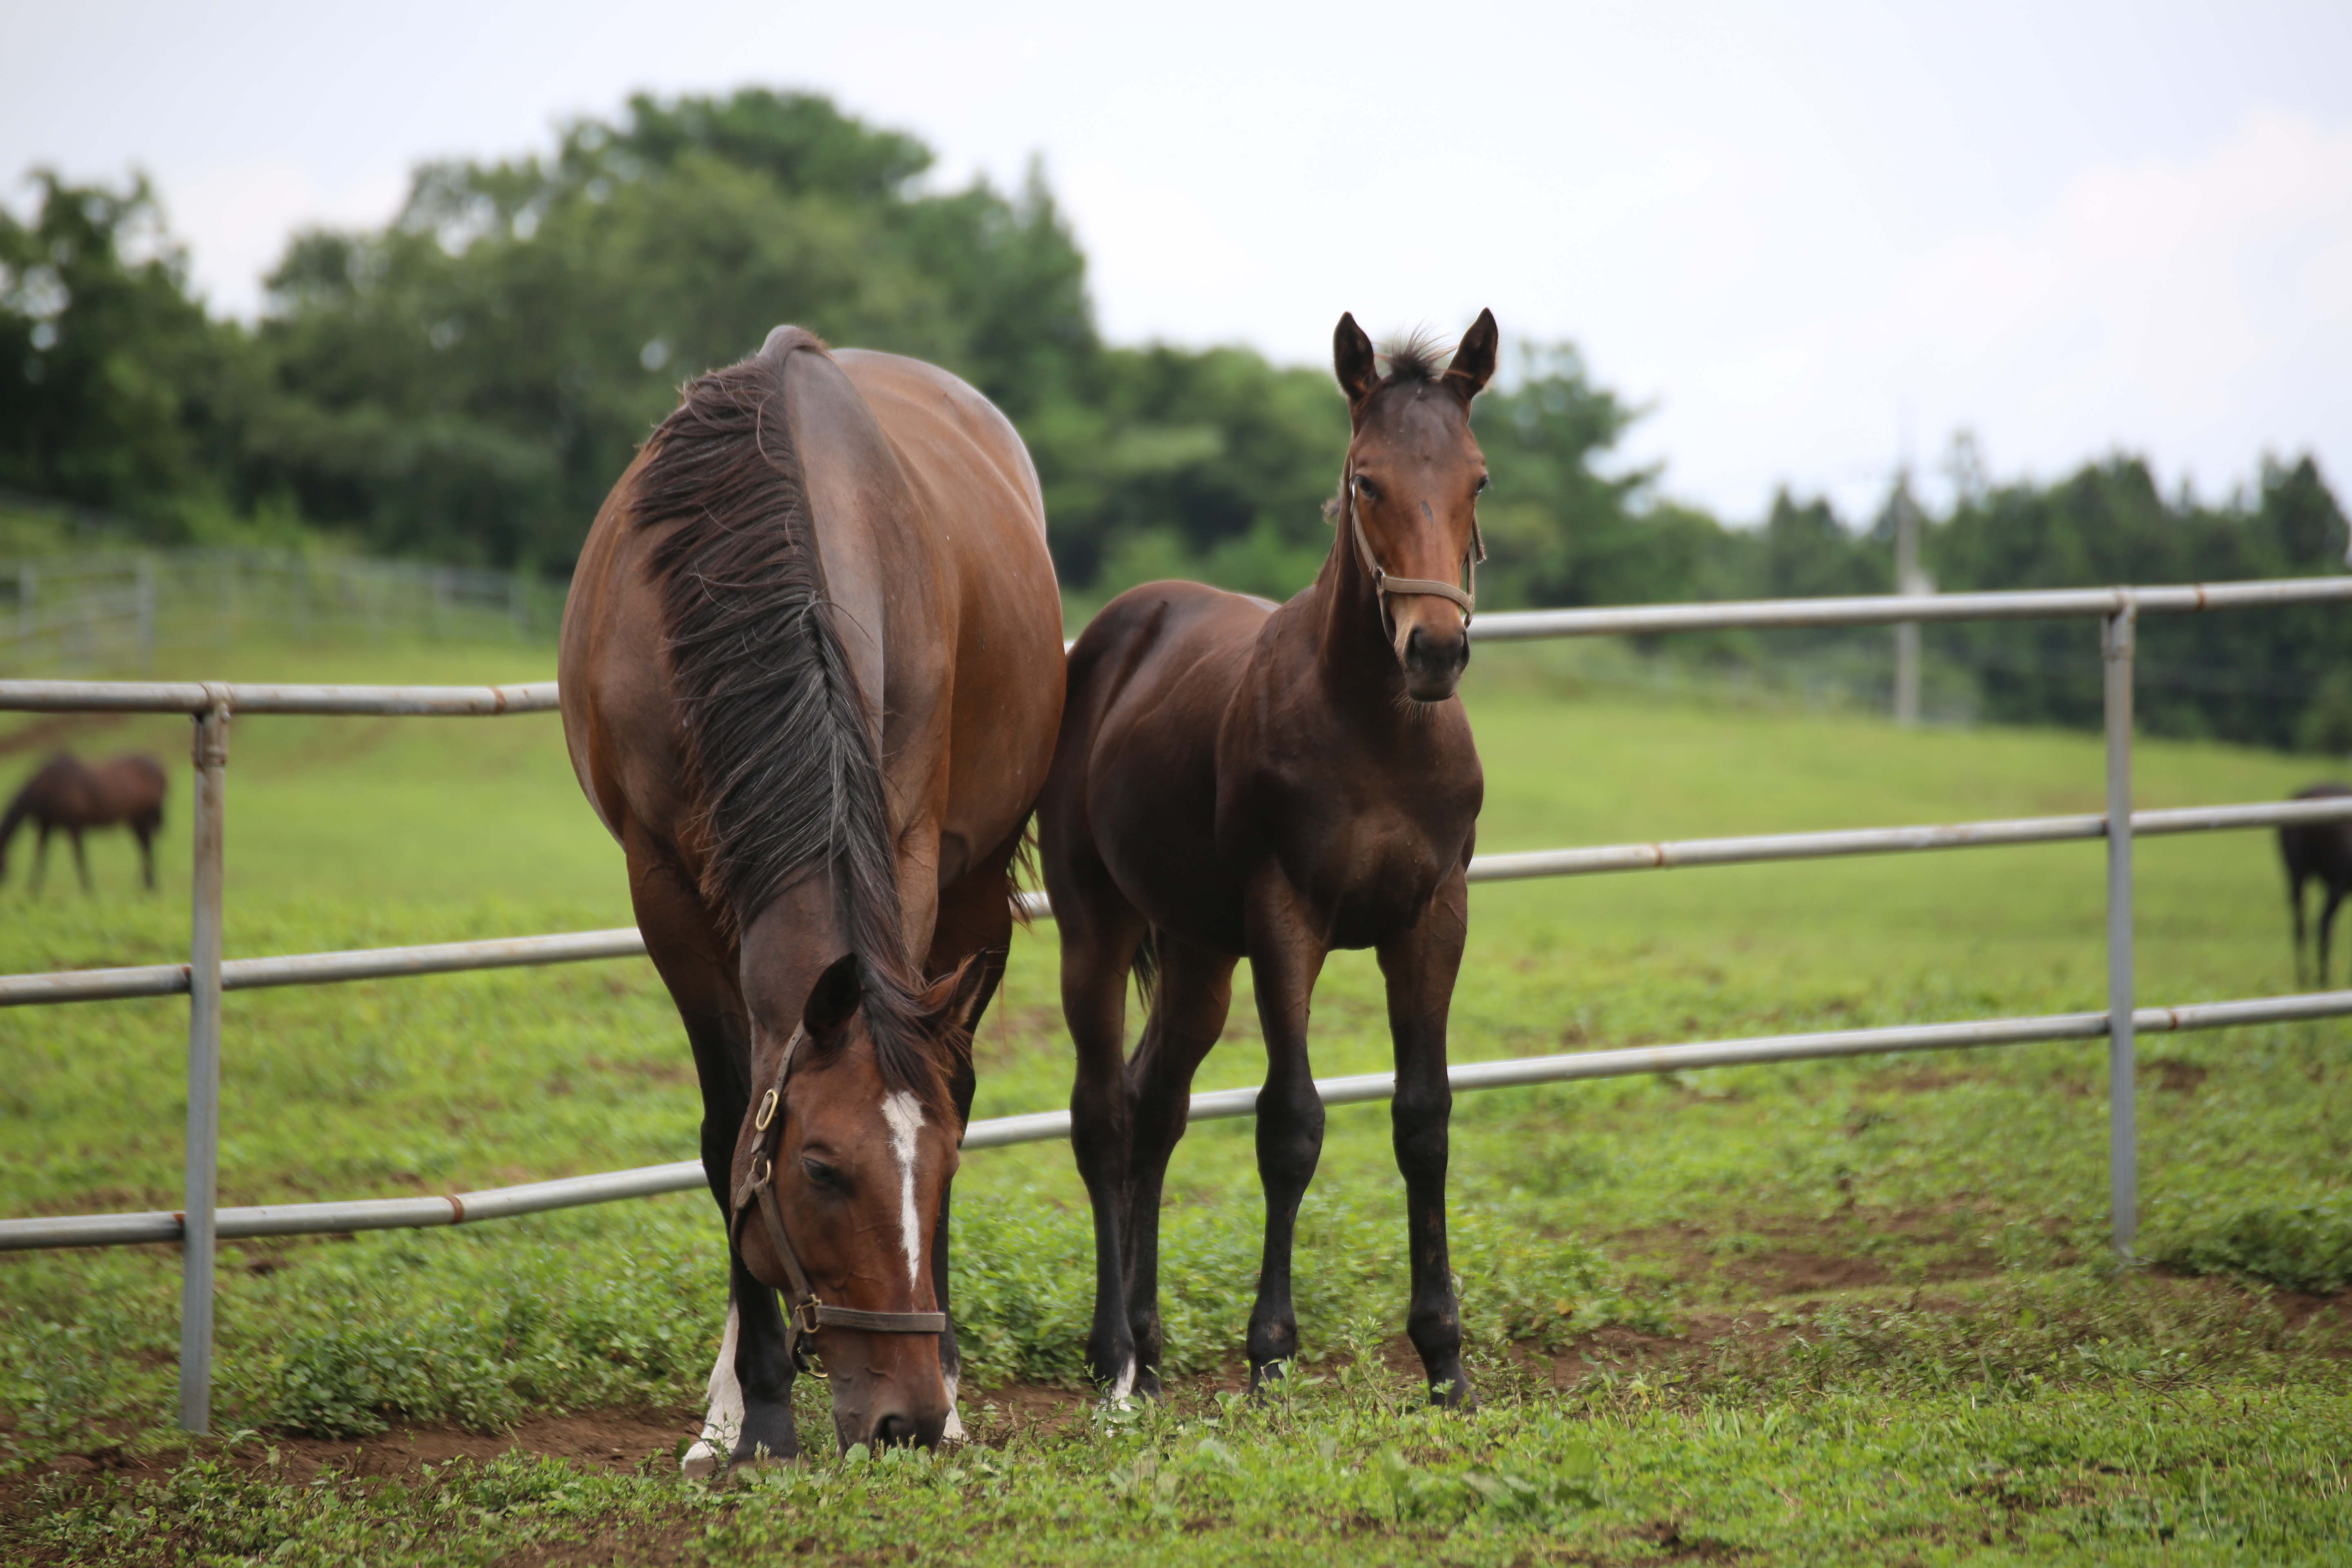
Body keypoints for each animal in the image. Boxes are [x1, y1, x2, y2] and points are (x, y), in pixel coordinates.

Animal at [0, 752, 168, 893]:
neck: (48, 787)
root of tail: (161, 770)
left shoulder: (74, 825)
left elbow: (79, 857)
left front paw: (88, 890)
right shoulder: (46, 825)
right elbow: (40, 855)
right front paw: (33, 892)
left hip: (145, 819)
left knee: (147, 848)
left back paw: (150, 886)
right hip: (135, 820)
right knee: (145, 848)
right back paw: (148, 886)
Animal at [559, 324, 1058, 1467]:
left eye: (945, 1172)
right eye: (824, 1170)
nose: (905, 1421)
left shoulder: (908, 852)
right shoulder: (663, 887)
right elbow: (728, 1126)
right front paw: (755, 1410)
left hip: (972, 886)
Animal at [1044, 310, 1496, 1410]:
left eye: (1478, 479)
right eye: (1364, 480)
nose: (1433, 650)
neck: (1375, 728)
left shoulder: (1434, 917)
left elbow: (1423, 1117)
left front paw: (1445, 1358)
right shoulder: (1286, 918)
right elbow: (1288, 1123)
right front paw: (1270, 1356)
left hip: (1197, 950)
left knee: (1154, 1103)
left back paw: (1150, 1343)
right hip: (1094, 925)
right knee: (1102, 1114)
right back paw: (1112, 1356)